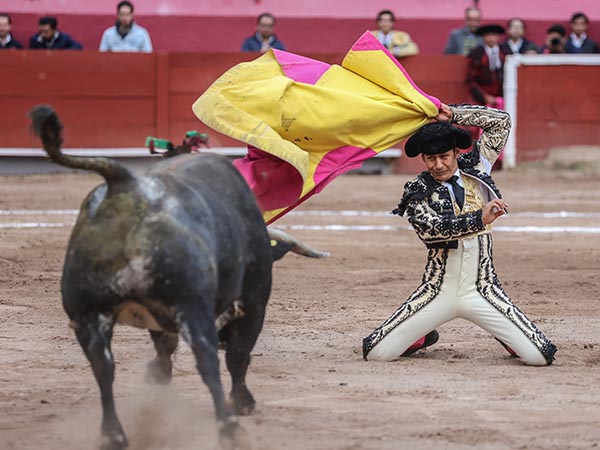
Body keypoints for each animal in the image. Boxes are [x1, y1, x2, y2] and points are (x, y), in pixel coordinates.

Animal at [29, 106, 326, 450]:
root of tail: (126, 185)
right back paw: (229, 430)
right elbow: (238, 357)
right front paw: (243, 402)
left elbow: (164, 347)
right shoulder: (253, 304)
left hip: (87, 314)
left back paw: (114, 435)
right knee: (208, 361)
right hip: (192, 306)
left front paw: (157, 377)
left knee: (103, 368)